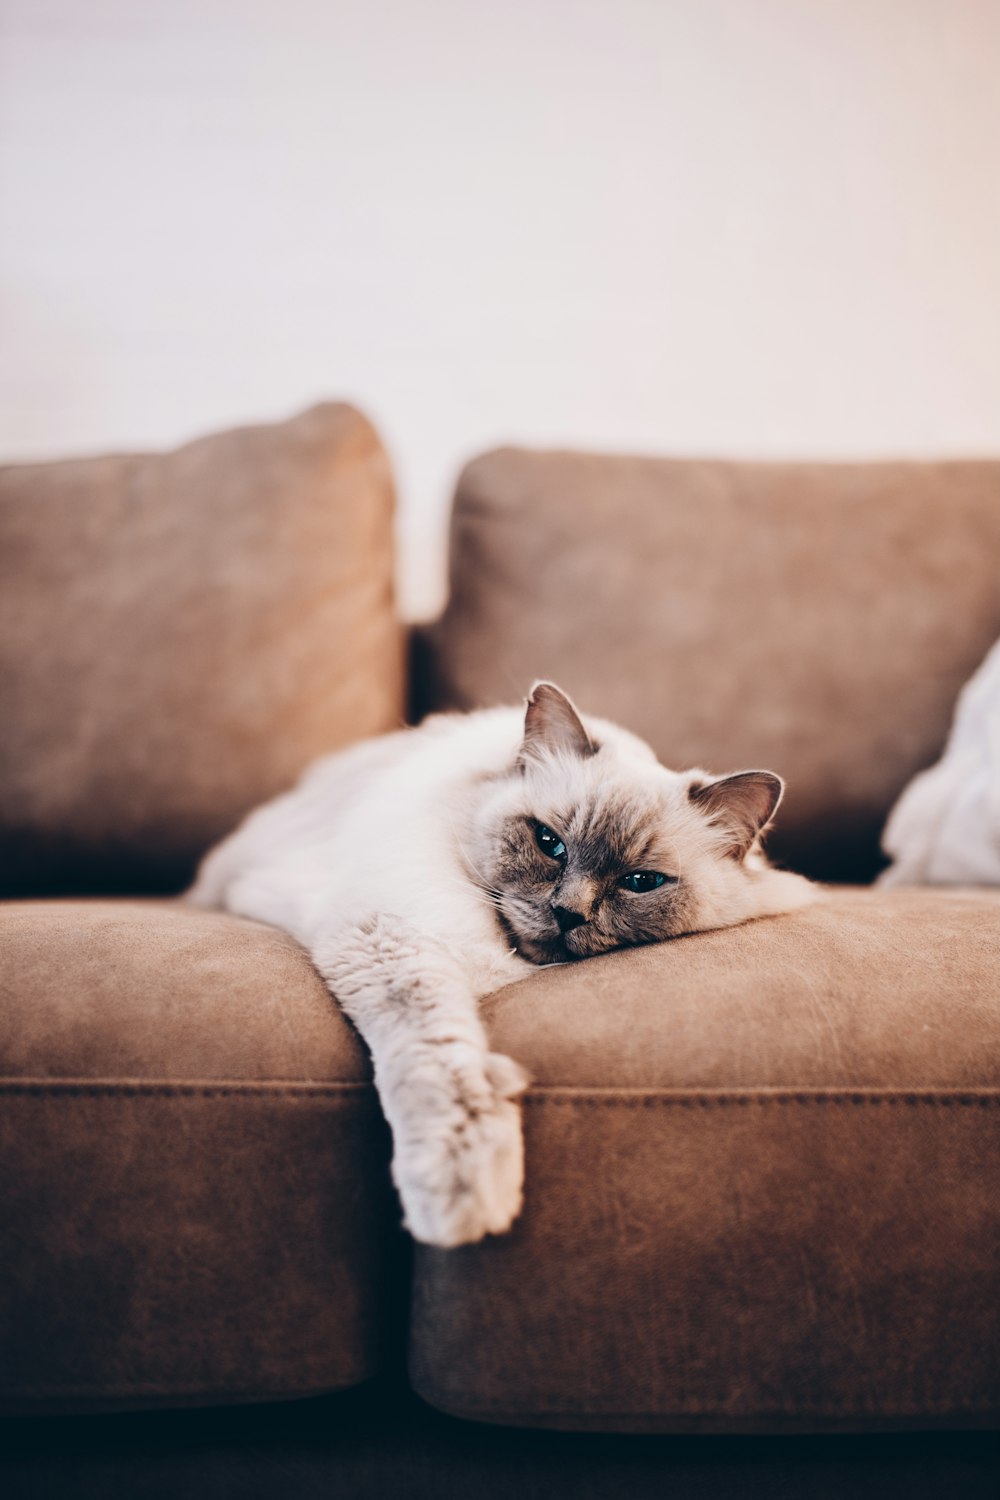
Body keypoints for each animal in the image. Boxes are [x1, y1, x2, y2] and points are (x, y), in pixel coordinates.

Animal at [191, 681, 815, 1242]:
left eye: (641, 883)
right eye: (549, 843)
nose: (567, 913)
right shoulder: (388, 933)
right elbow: (442, 1060)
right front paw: (462, 1193)